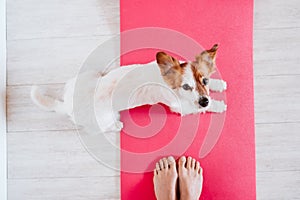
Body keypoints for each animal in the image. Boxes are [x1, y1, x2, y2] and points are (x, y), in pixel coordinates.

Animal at [31, 44, 227, 134]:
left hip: (87, 76)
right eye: (186, 87)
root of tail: (65, 104)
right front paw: (219, 106)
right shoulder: (181, 107)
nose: (204, 100)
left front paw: (219, 84)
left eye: (205, 80)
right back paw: (116, 125)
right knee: (103, 127)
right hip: (103, 118)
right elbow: (202, 107)